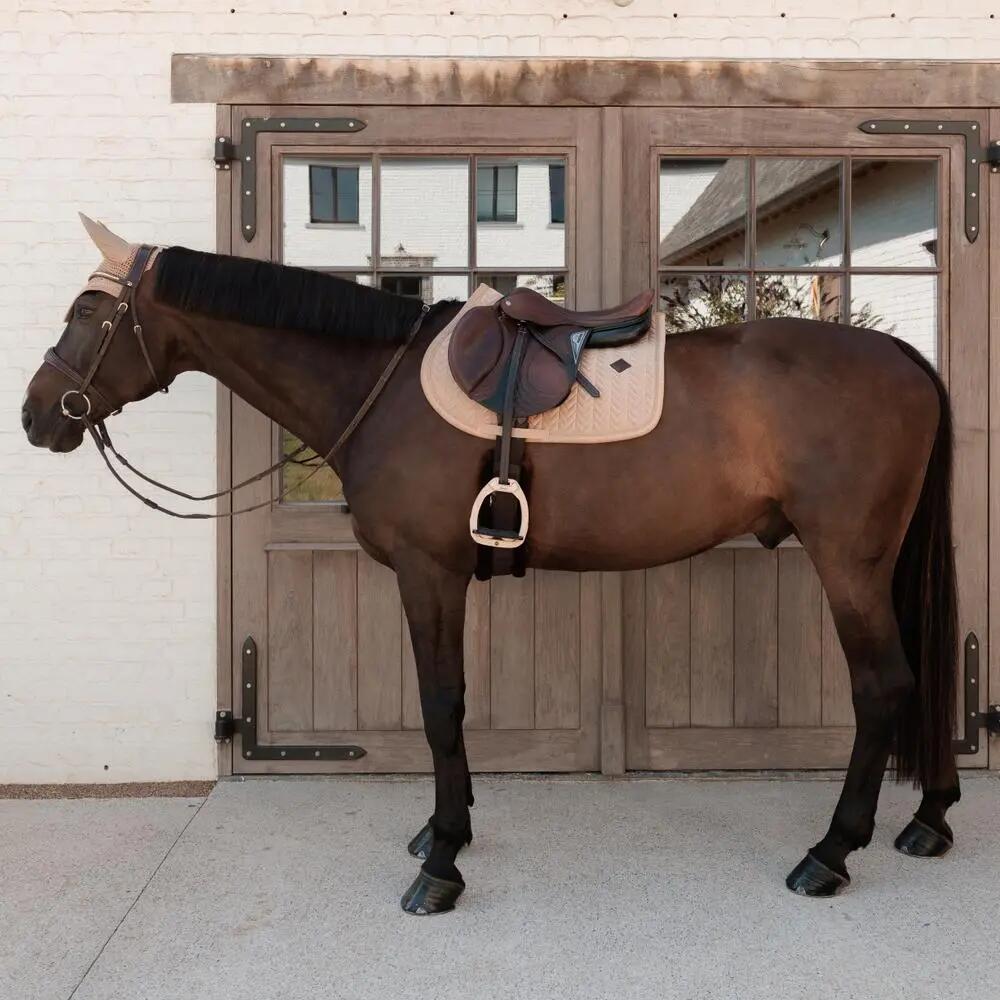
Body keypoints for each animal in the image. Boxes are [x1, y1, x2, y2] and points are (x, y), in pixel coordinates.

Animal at [22, 216, 959, 915]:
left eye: (85, 312)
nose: (37, 416)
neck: (382, 385)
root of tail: (906, 358)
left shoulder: (427, 572)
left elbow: (442, 705)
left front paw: (439, 864)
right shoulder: (438, 577)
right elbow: (454, 704)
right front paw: (451, 828)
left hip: (847, 563)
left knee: (882, 686)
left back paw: (830, 853)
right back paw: (930, 819)